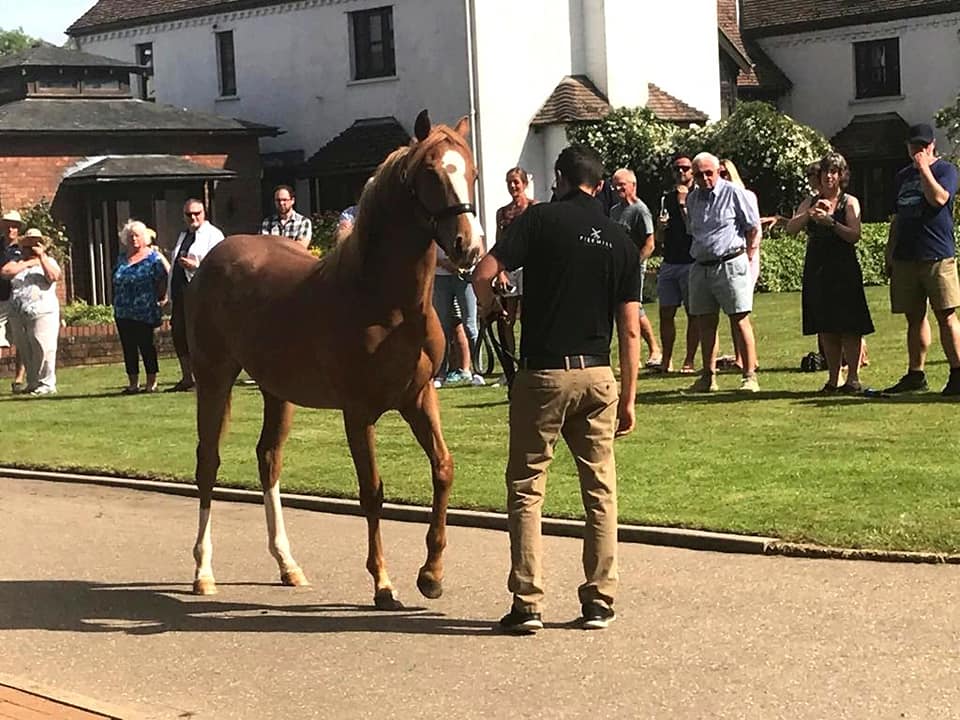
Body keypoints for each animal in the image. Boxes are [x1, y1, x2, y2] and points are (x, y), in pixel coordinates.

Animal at [184, 110, 483, 609]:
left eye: (472, 172)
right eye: (430, 172)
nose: (468, 247)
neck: (385, 303)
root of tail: (212, 256)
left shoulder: (419, 398)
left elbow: (443, 468)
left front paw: (432, 574)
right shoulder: (358, 413)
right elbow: (372, 491)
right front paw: (383, 583)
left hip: (277, 392)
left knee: (268, 459)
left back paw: (288, 564)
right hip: (214, 378)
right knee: (209, 461)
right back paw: (204, 571)